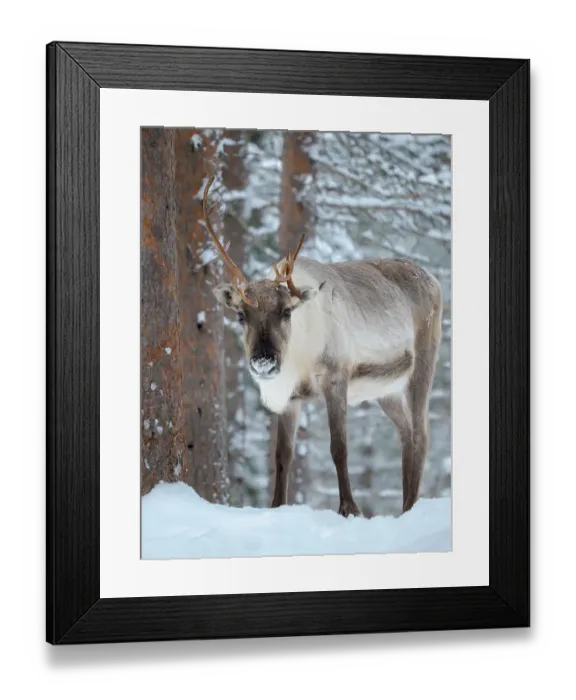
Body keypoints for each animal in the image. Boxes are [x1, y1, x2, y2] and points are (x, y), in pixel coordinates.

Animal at [201, 176, 443, 518]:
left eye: (286, 312)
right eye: (240, 315)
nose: (263, 361)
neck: (299, 359)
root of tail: (434, 280)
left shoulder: (335, 376)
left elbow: (338, 447)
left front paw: (350, 508)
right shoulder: (291, 399)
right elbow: (282, 456)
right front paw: (276, 505)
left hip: (423, 363)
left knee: (421, 432)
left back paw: (410, 507)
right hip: (386, 390)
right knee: (406, 433)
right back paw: (405, 505)